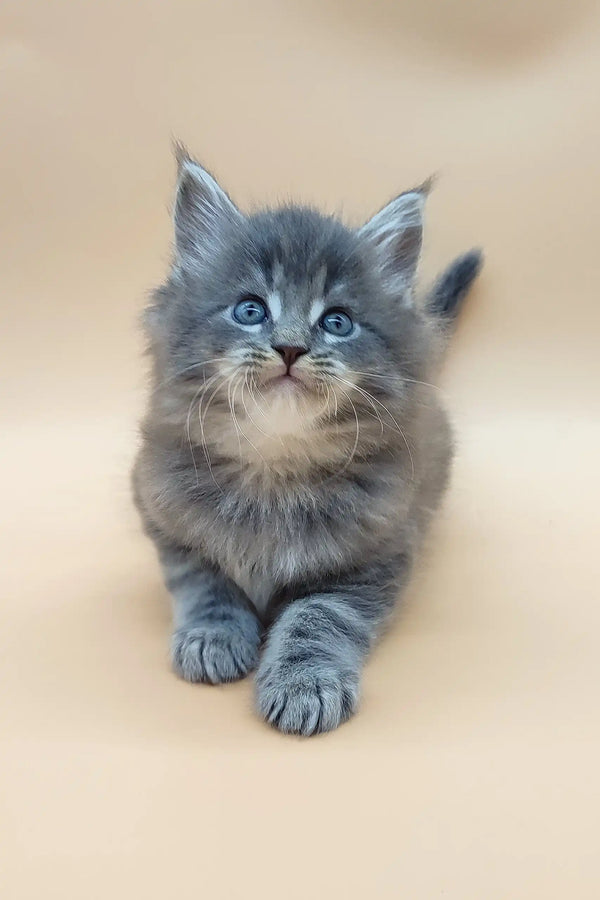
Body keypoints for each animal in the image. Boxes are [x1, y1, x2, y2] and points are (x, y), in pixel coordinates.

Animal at [132, 146, 482, 740]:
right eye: (251, 310)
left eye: (337, 322)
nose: (291, 347)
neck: (274, 469)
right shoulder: (162, 508)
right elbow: (204, 581)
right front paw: (213, 636)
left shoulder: (376, 554)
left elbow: (319, 618)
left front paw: (304, 684)